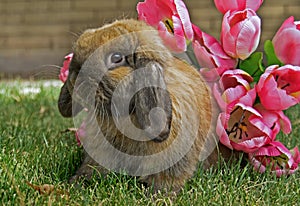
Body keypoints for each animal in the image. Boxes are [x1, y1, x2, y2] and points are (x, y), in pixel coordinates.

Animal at [57, 18, 233, 192]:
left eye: (116, 58)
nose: (75, 76)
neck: (125, 117)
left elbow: (168, 179)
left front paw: (158, 195)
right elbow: (93, 168)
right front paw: (76, 182)